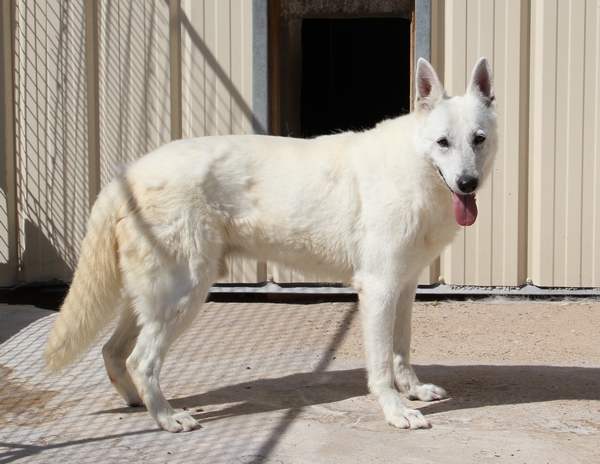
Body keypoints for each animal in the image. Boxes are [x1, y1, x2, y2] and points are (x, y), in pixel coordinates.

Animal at [45, 57, 496, 432]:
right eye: (442, 143)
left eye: (478, 139)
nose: (468, 184)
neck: (412, 167)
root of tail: (127, 172)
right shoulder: (379, 288)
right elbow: (382, 364)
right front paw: (396, 411)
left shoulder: (404, 287)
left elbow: (401, 352)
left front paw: (413, 392)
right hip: (184, 296)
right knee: (140, 361)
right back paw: (168, 418)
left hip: (151, 300)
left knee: (112, 352)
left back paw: (138, 404)